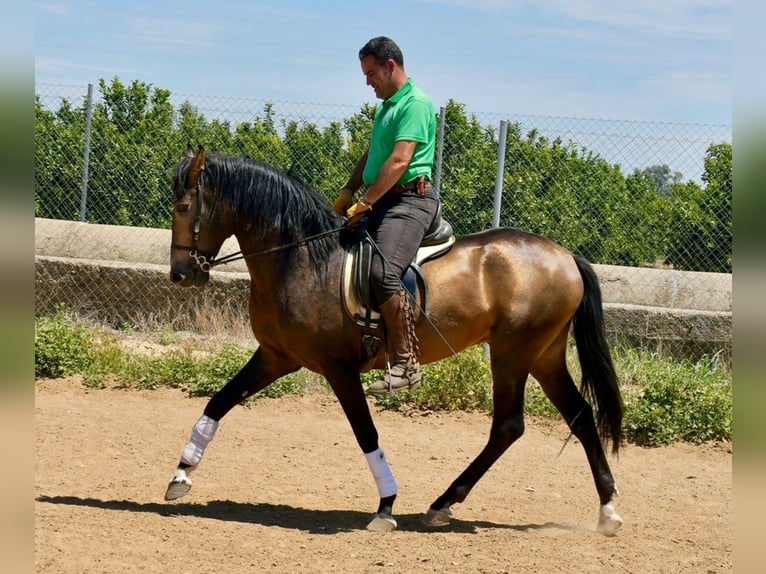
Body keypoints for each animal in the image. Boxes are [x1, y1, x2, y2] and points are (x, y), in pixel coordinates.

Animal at [165, 146, 628, 536]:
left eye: (184, 207)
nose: (181, 275)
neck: (301, 259)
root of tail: (566, 256)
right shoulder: (277, 356)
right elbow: (219, 401)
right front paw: (181, 474)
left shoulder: (338, 368)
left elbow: (365, 433)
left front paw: (386, 506)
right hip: (543, 355)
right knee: (579, 416)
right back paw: (606, 511)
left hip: (514, 353)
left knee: (508, 426)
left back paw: (444, 502)